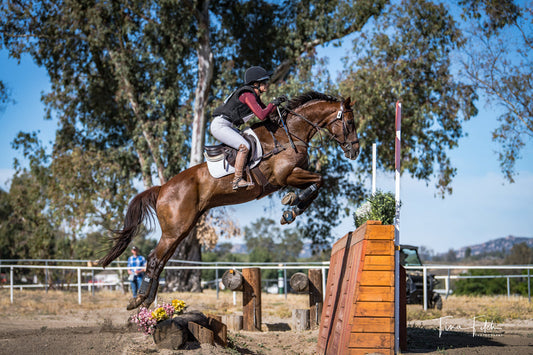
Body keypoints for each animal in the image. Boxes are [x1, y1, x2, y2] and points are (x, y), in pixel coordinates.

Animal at [98, 91, 360, 308]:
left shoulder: (292, 176)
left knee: (160, 260)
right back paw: (139, 299)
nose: (354, 151)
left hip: (182, 229)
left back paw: (147, 299)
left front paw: (292, 209)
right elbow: (319, 180)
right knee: (153, 259)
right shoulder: (286, 175)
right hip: (175, 229)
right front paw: (291, 206)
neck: (289, 134)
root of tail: (163, 188)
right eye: (350, 123)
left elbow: (317, 184)